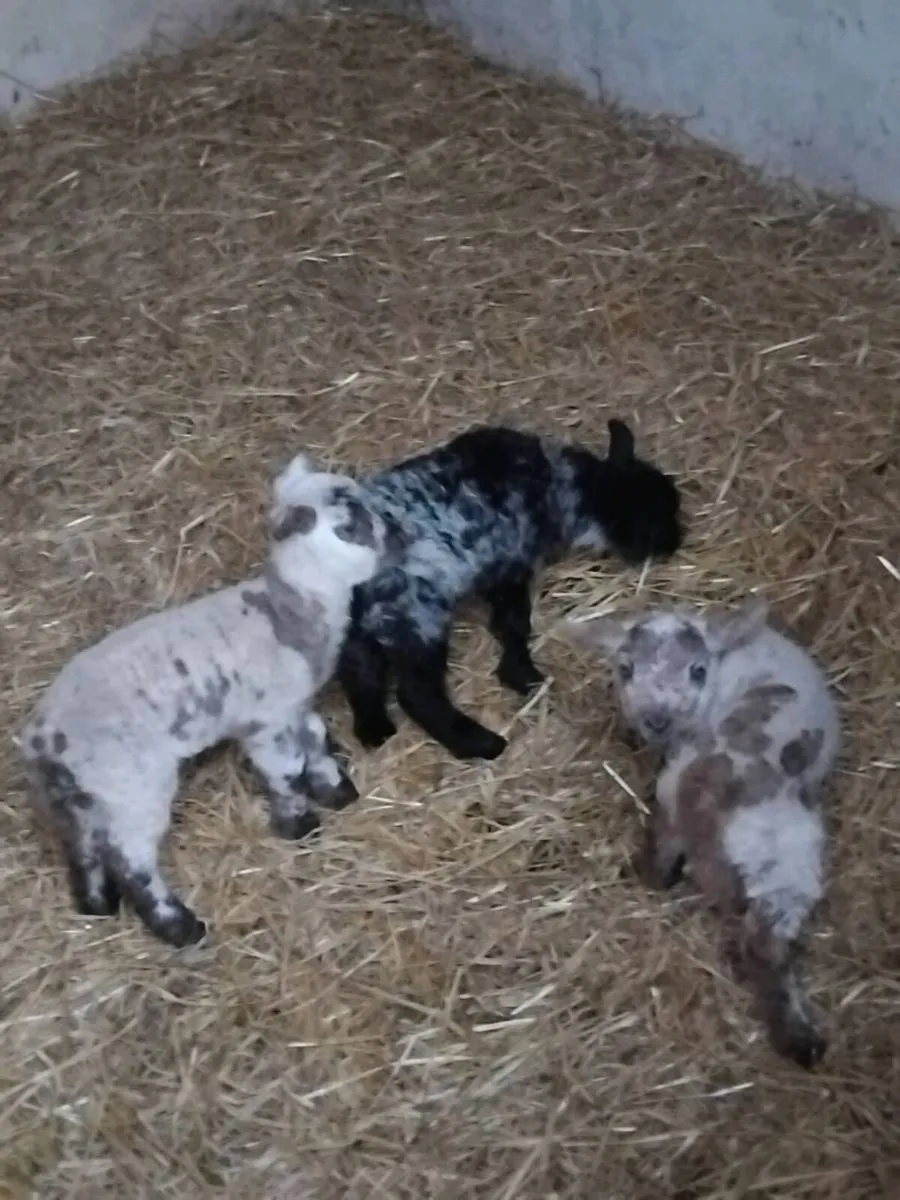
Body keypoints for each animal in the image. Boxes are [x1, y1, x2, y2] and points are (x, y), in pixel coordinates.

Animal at [20, 456, 401, 947]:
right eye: (349, 526)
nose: (400, 537)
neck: (289, 611)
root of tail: (43, 738)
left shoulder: (293, 704)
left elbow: (315, 739)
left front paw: (335, 790)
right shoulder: (266, 719)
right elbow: (285, 769)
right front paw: (299, 824)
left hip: (81, 795)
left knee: (83, 842)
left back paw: (96, 903)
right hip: (132, 786)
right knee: (131, 858)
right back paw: (177, 926)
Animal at [337, 418, 684, 762]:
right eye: (660, 515)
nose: (675, 543)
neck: (563, 486)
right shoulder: (511, 562)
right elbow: (515, 623)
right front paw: (524, 676)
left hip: (362, 625)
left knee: (360, 673)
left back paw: (375, 730)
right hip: (417, 613)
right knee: (416, 693)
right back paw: (482, 743)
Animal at [563, 596, 840, 1067]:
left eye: (697, 669)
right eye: (625, 669)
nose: (656, 719)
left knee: (660, 871)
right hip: (787, 868)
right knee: (763, 946)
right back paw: (799, 1038)